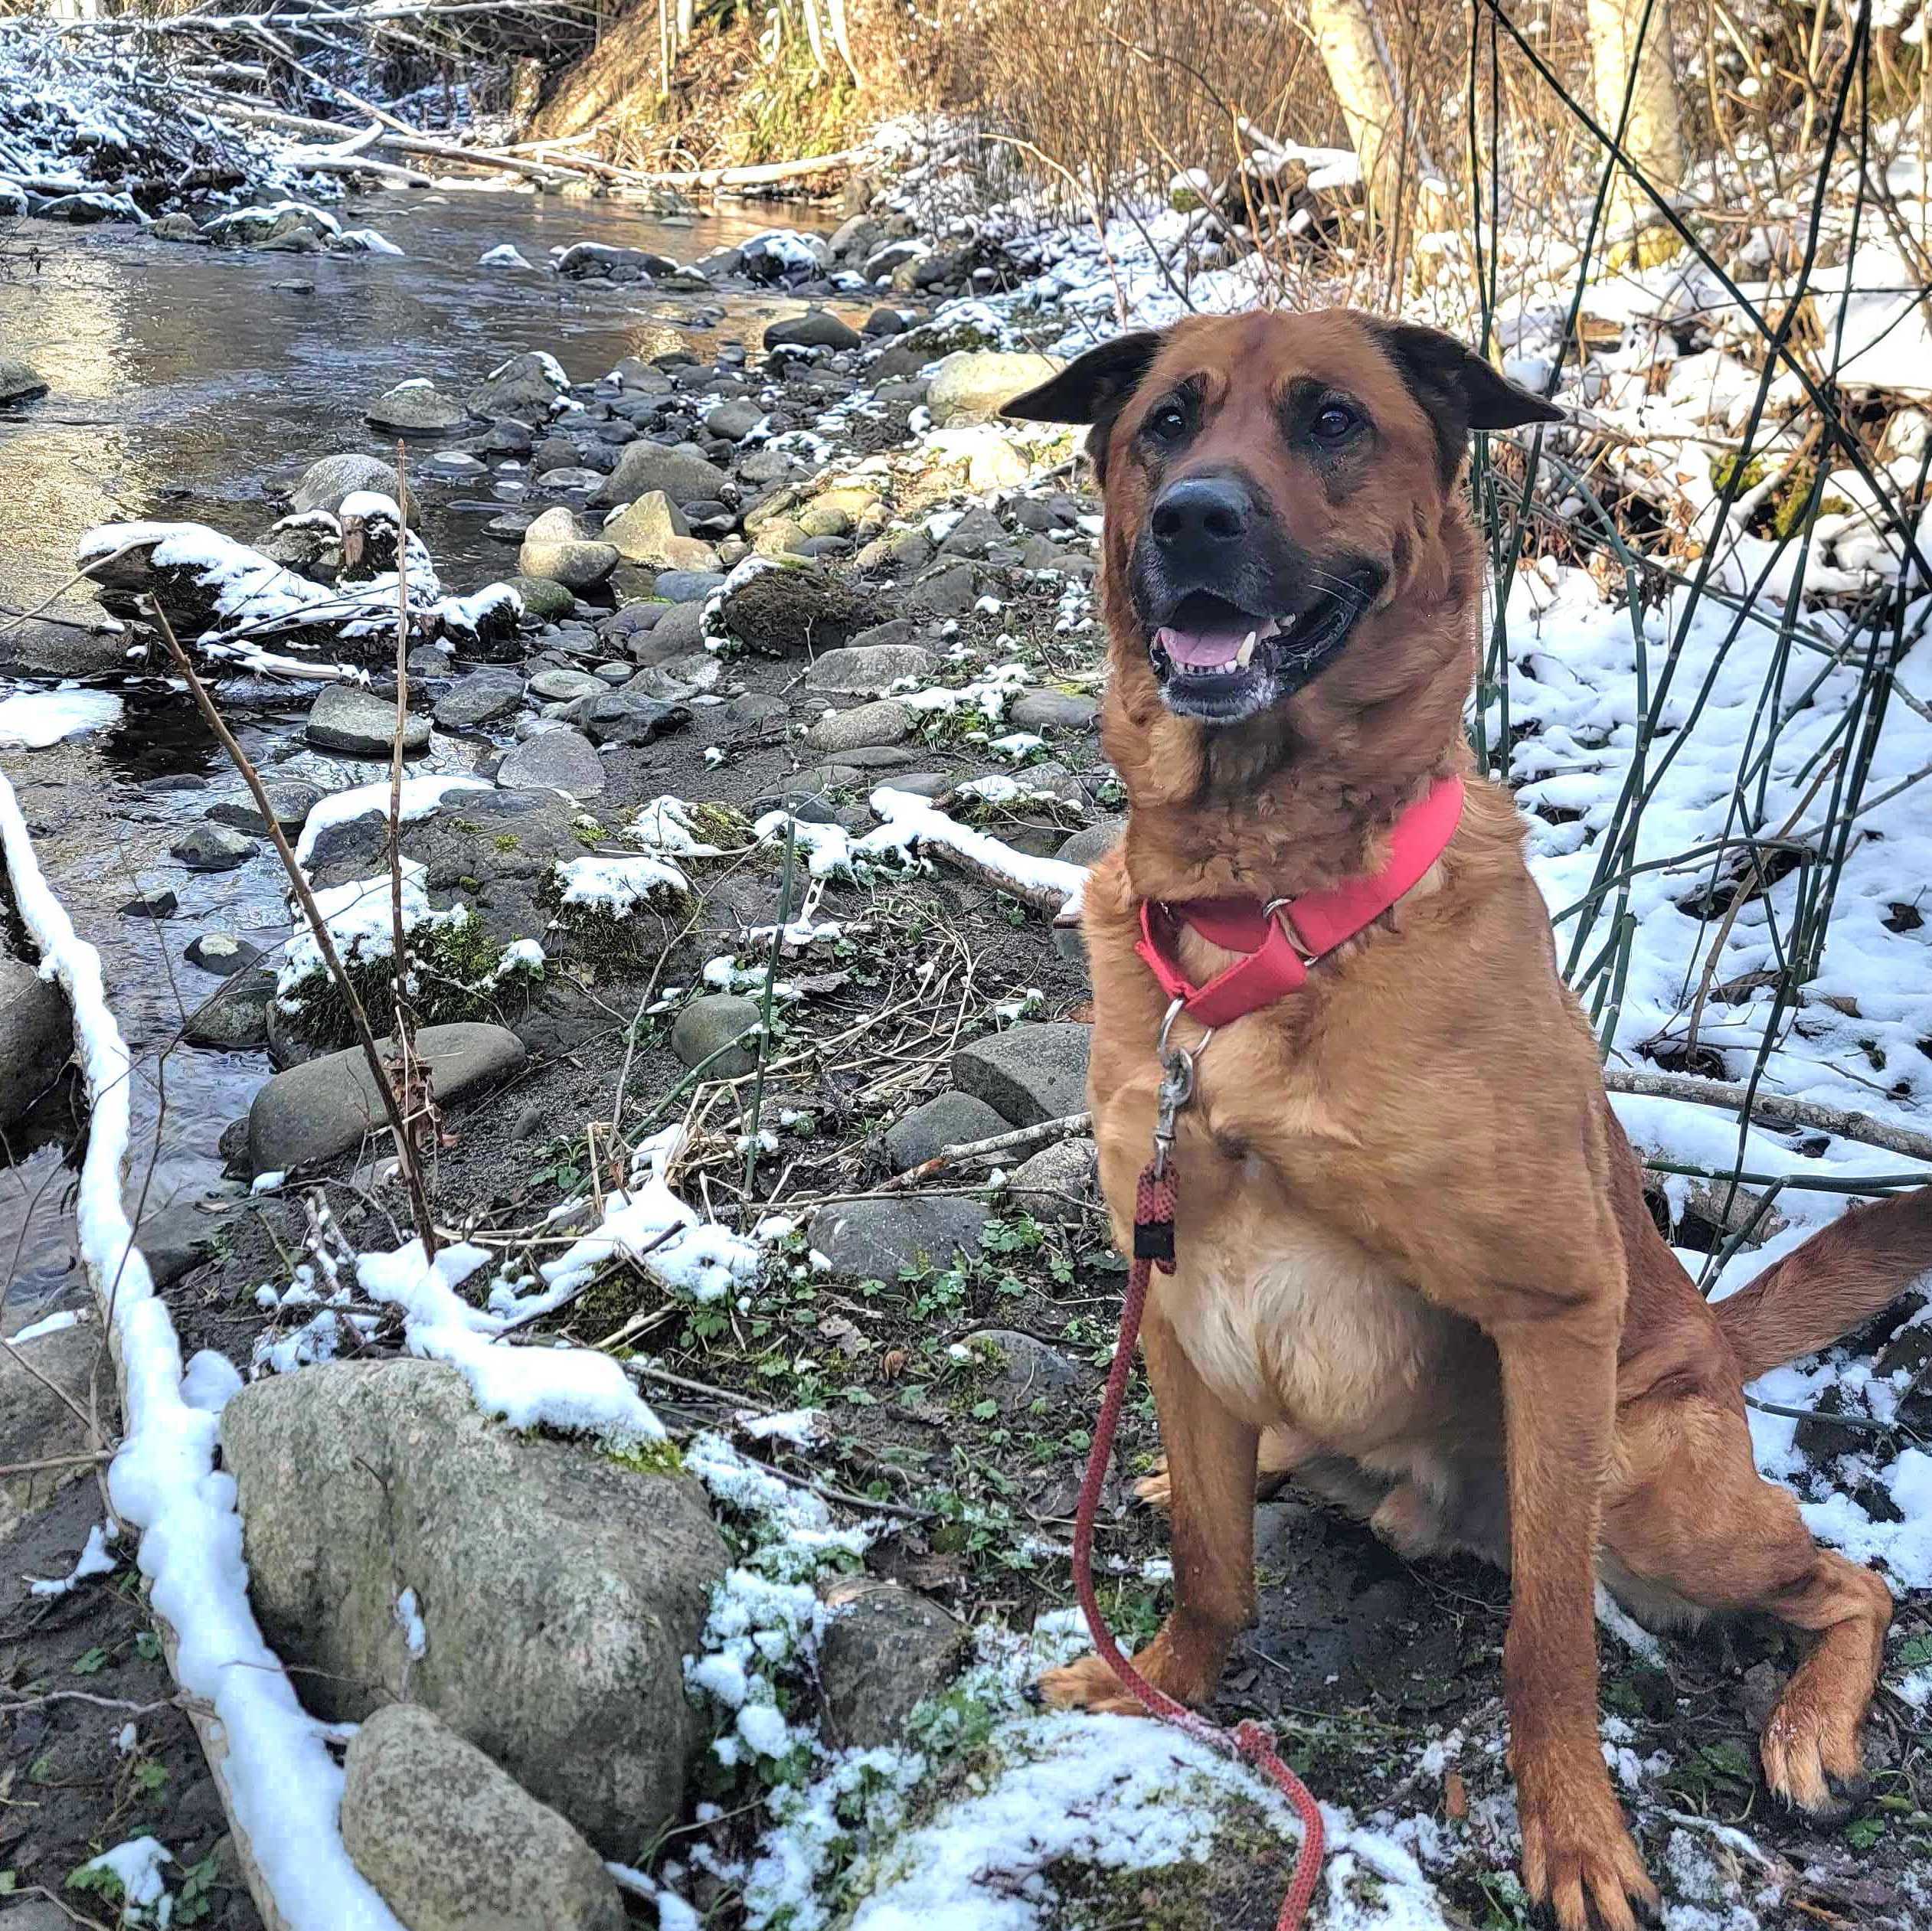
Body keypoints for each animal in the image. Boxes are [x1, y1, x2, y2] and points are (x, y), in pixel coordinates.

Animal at [1004, 305, 1924, 1931]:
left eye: (1330, 420)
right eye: (1166, 423)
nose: (1192, 519)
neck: (1266, 909)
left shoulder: (1550, 1313)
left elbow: (1543, 1638)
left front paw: (1574, 1832)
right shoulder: (1173, 1290)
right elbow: (1208, 1562)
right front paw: (1161, 1681)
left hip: (1642, 1477)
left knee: (1847, 1581)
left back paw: (1809, 1724)